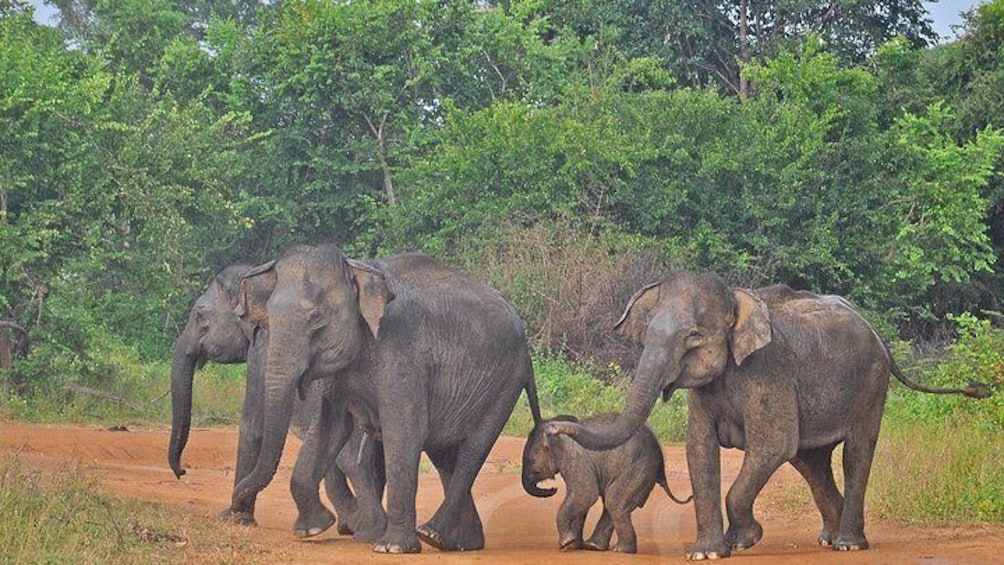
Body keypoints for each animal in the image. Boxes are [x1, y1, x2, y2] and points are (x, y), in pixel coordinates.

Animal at [166, 262, 385, 541]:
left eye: (200, 316)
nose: (182, 472)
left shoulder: (261, 352)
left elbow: (252, 427)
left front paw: (234, 518)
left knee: (352, 462)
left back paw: (365, 529)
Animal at [229, 245, 542, 553]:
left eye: (316, 318)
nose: (236, 511)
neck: (356, 268)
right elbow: (330, 430)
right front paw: (312, 529)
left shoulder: (401, 352)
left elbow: (402, 432)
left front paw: (391, 547)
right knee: (444, 454)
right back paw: (457, 543)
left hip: (504, 383)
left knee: (471, 451)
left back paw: (432, 533)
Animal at [518, 413, 690, 553]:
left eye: (530, 461)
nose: (552, 489)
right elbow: (582, 500)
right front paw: (572, 545)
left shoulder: (575, 458)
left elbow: (585, 494)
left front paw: (566, 543)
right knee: (612, 503)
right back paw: (595, 547)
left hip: (638, 469)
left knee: (614, 502)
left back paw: (621, 550)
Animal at [542, 274, 987, 561]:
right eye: (648, 333)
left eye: (693, 337)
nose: (552, 426)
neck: (737, 300)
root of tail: (877, 333)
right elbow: (699, 450)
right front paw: (706, 553)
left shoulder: (767, 371)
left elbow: (772, 445)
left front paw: (743, 541)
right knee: (810, 461)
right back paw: (827, 538)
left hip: (870, 385)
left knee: (855, 453)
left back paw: (847, 544)